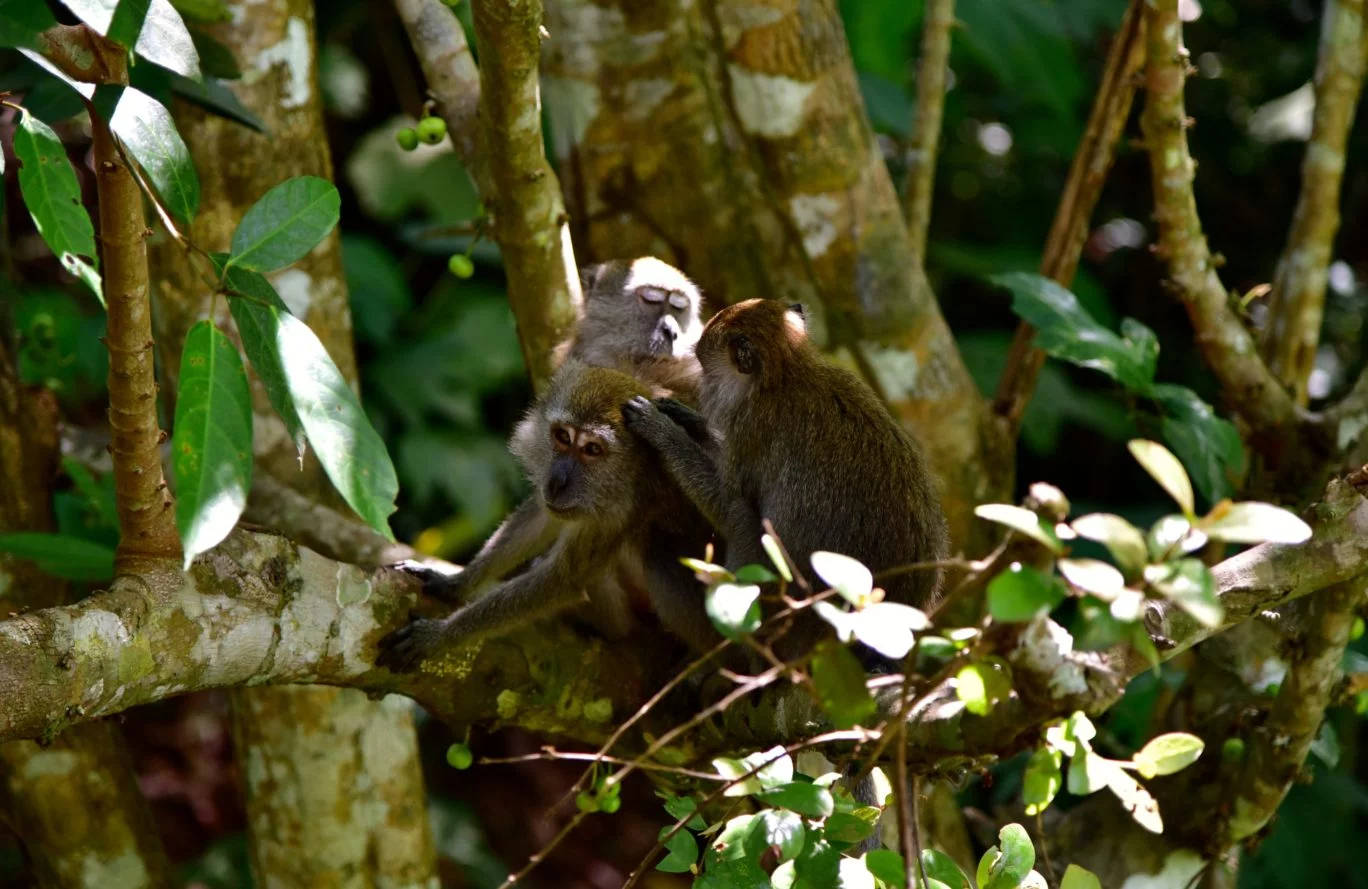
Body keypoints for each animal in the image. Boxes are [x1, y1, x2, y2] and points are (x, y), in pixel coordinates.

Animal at [620, 298, 949, 661]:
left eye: (705, 368)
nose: (702, 386)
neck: (788, 375)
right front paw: (686, 418)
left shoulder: (751, 426)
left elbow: (725, 502)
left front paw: (663, 432)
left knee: (739, 516)